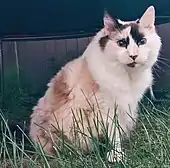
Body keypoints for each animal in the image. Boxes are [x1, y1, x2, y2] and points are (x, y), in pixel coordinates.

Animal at [28, 5, 161, 162]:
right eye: (122, 43)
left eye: (142, 41)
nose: (133, 56)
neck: (128, 76)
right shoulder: (107, 109)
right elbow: (114, 134)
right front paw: (115, 155)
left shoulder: (125, 107)